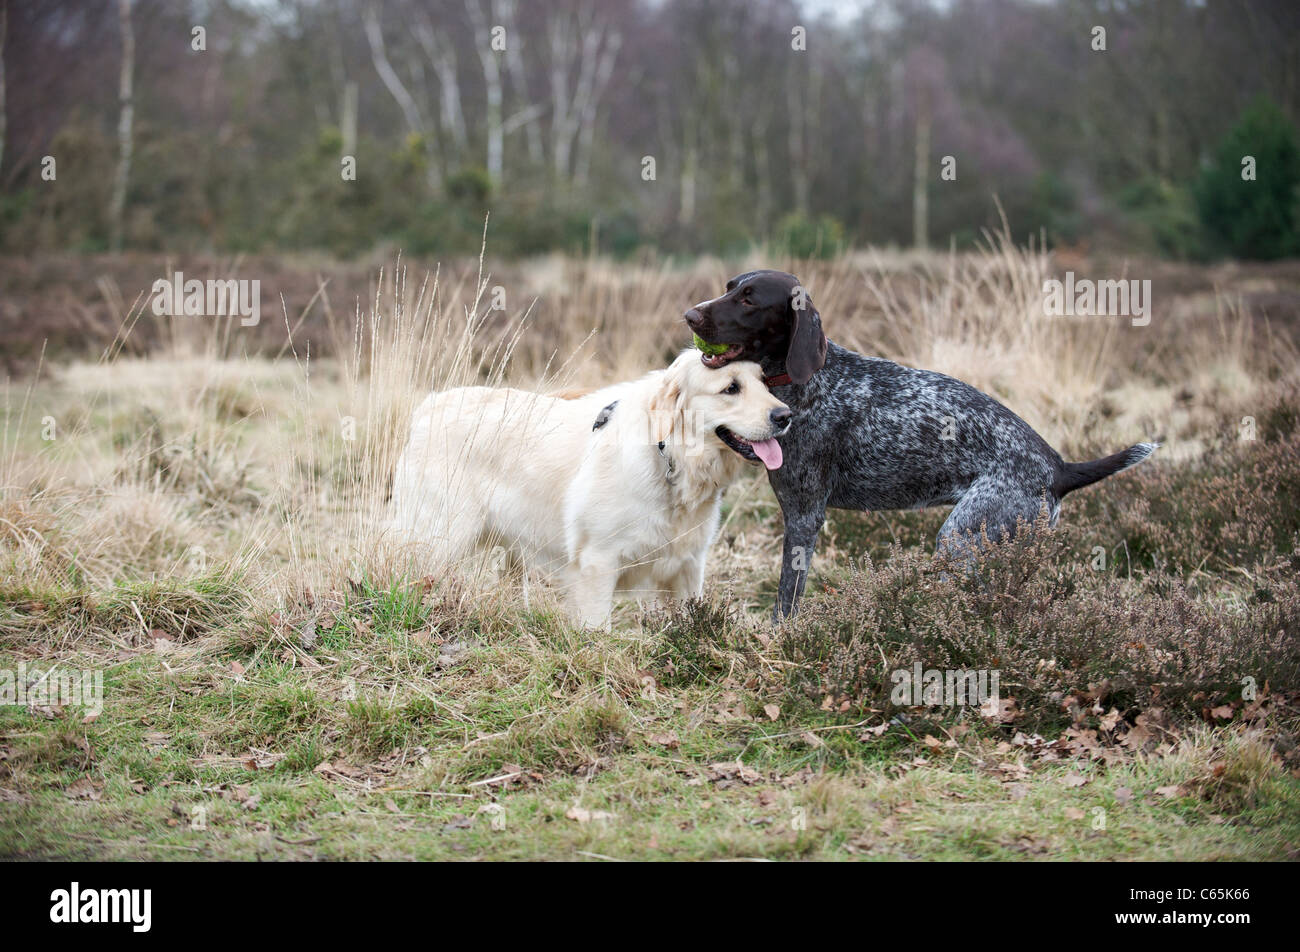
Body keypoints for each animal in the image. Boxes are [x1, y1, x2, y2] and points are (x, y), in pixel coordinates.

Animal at [387, 348, 790, 624]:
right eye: (731, 388)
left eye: (764, 382)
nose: (785, 415)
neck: (668, 456)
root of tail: (429, 407)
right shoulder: (598, 563)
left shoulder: (688, 566)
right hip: (437, 539)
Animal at [686, 271, 1164, 621]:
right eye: (729, 288)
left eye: (750, 300)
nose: (690, 315)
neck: (804, 383)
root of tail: (1057, 466)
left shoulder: (804, 516)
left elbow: (787, 598)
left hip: (962, 538)